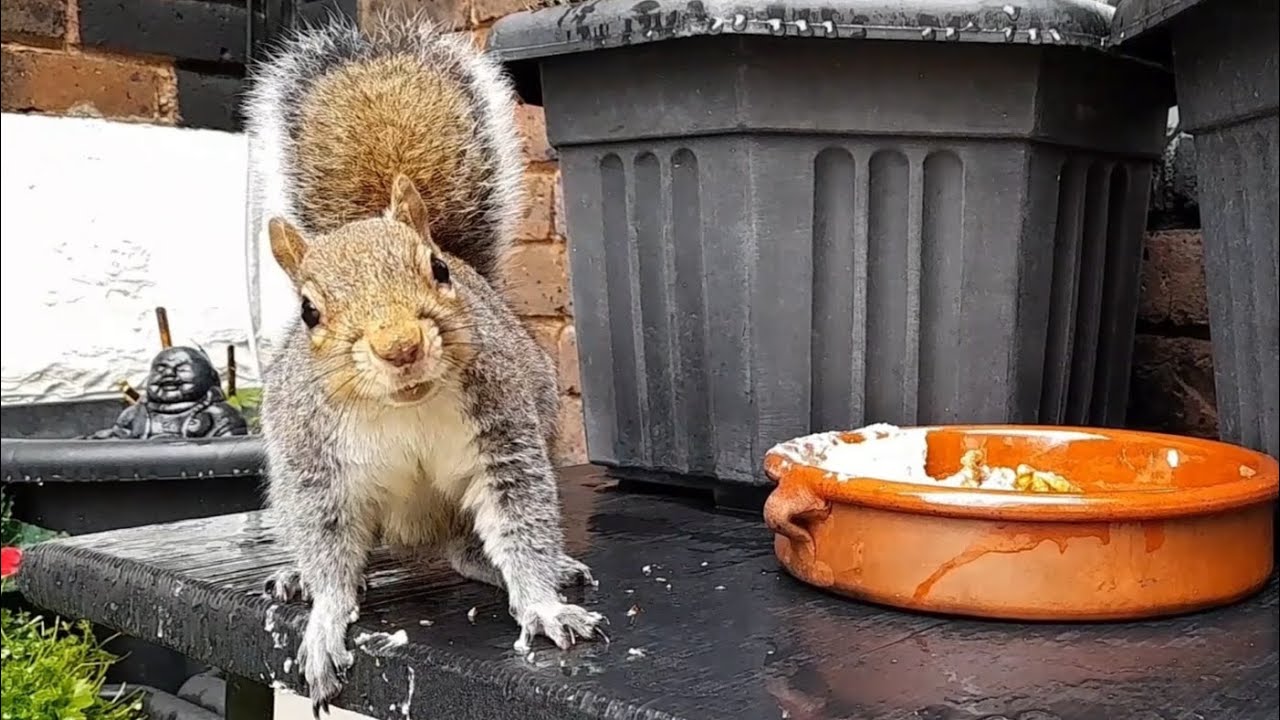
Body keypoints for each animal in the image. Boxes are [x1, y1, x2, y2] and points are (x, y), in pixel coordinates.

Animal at [244, 13, 604, 715]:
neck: (400, 407)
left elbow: (520, 517)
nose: (400, 346)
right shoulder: (315, 470)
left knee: (466, 549)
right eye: (308, 312)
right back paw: (297, 576)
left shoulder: (503, 433)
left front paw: (543, 603)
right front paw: (324, 621)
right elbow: (329, 549)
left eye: (437, 271)